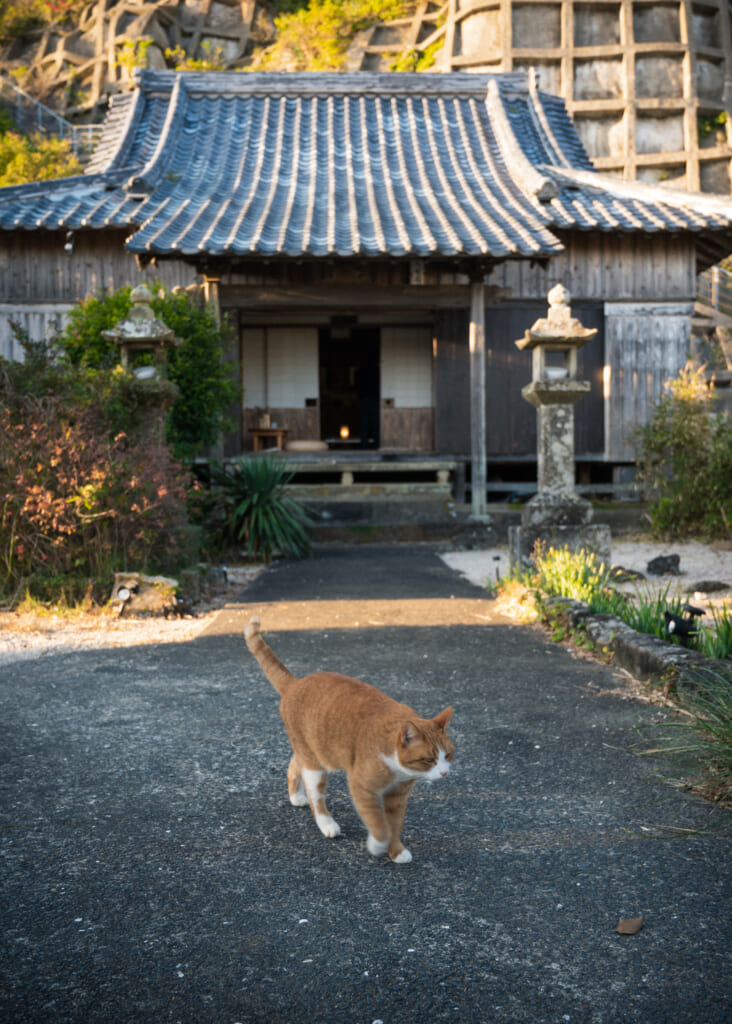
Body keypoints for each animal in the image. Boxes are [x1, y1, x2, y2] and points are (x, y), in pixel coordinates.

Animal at [244, 614, 452, 864]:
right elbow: (379, 826)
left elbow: (394, 825)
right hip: (317, 767)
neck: (398, 769)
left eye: (449, 756)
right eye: (429, 759)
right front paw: (377, 846)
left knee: (294, 765)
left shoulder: (397, 797)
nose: (445, 773)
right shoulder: (362, 788)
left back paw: (296, 796)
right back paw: (326, 823)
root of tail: (296, 682)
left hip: (314, 751)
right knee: (316, 796)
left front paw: (397, 851)